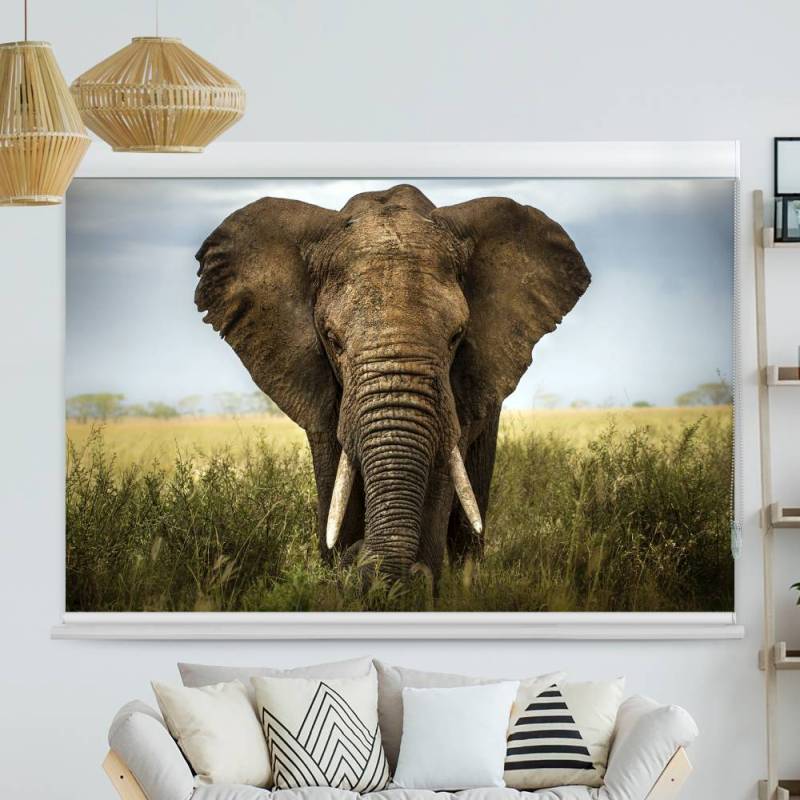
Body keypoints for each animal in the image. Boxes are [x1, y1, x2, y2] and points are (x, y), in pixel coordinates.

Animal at [194, 184, 590, 586]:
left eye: (456, 337)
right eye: (332, 340)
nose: (357, 558)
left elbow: (440, 474)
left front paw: (413, 583)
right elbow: (335, 478)